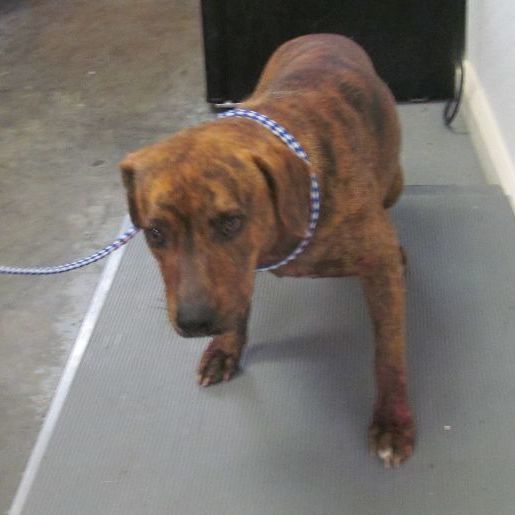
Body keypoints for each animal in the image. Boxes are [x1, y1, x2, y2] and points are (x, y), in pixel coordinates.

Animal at [120, 33, 415, 467]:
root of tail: (326, 34)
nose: (195, 323)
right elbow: (239, 304)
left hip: (394, 181)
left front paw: (393, 421)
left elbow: (389, 351)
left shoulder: (377, 266)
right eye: (155, 233)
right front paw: (226, 349)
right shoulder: (240, 275)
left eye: (231, 222)